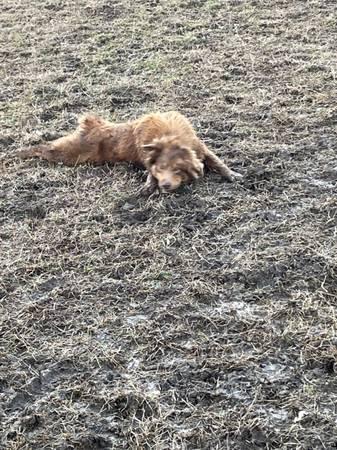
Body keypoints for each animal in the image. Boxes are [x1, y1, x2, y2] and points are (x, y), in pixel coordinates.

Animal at [18, 110, 240, 193]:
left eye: (179, 170)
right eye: (161, 168)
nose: (165, 185)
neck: (169, 135)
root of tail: (92, 124)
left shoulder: (200, 147)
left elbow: (217, 161)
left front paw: (232, 174)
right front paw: (149, 185)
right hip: (69, 154)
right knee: (43, 148)